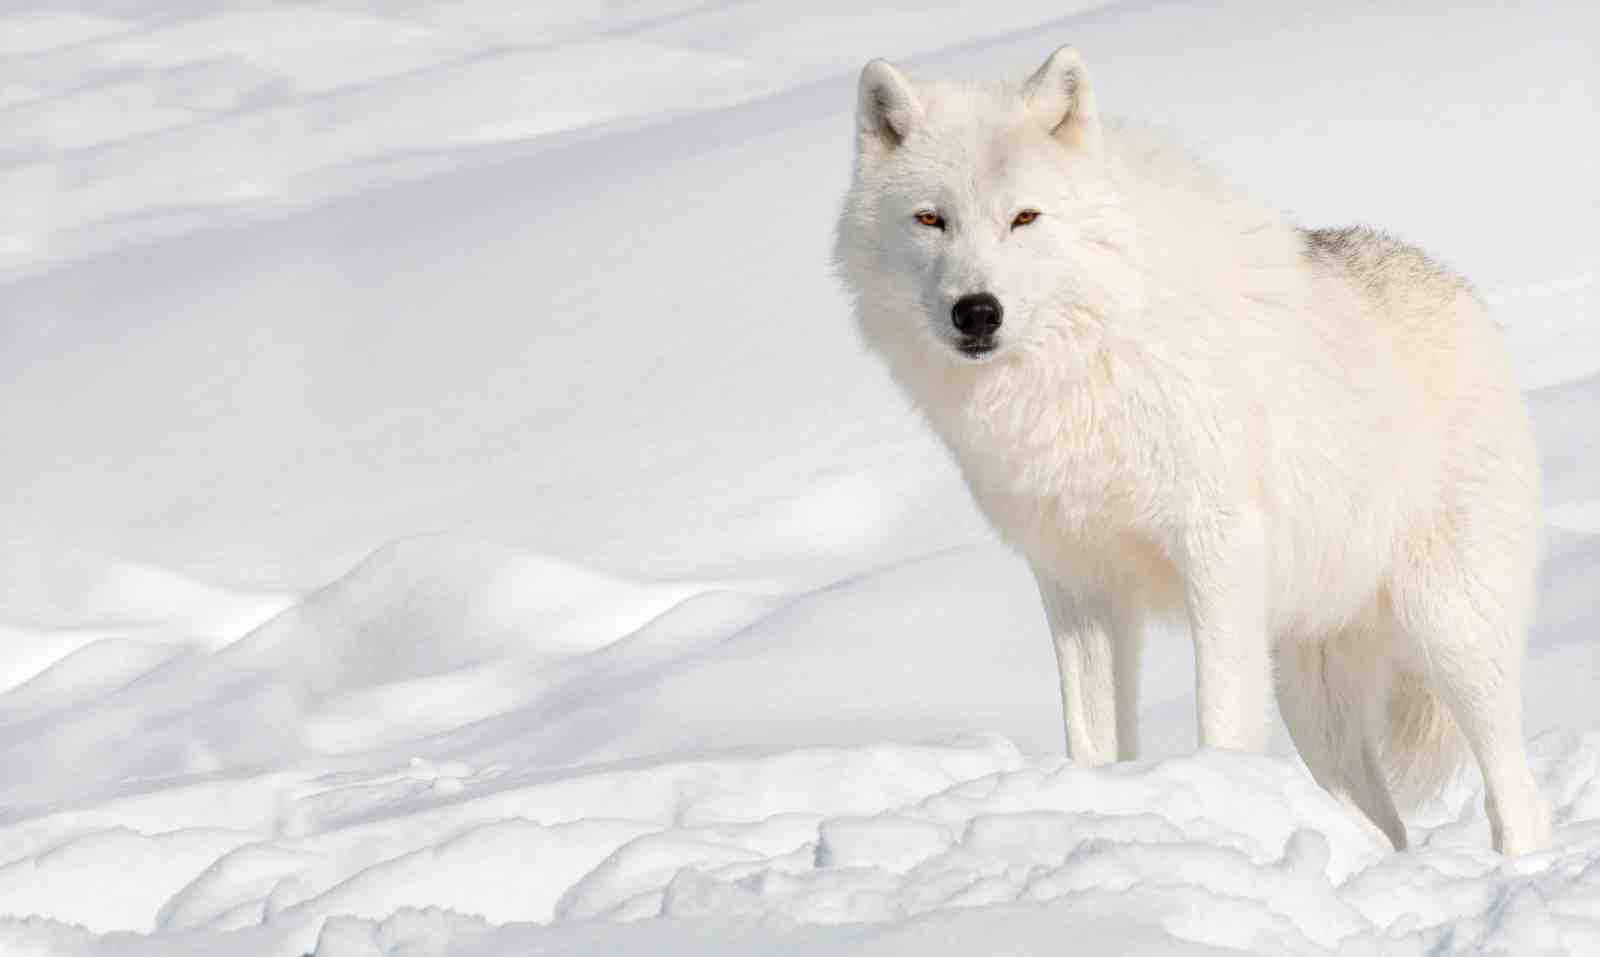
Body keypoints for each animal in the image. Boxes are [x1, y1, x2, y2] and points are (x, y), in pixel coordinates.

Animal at [834, 47, 1550, 855]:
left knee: (1518, 798)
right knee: (1385, 826)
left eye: (1024, 217)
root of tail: (1465, 297)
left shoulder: (1217, 547)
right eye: (931, 219)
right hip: (1313, 697)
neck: (1081, 362)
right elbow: (1093, 739)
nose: (976, 311)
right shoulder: (1077, 582)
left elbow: (1222, 718)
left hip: (1452, 636)